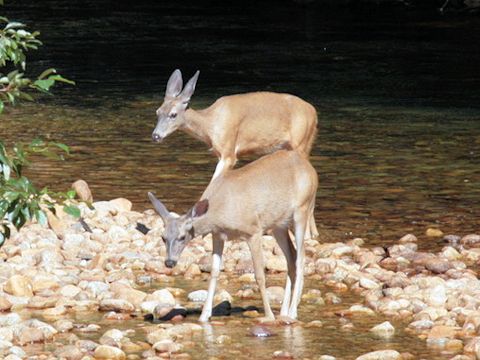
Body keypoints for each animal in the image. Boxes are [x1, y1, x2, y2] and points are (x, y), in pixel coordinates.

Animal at [148, 150, 316, 322]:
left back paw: (292, 312)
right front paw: (204, 316)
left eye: (182, 237)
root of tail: (310, 168)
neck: (219, 211)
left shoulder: (253, 230)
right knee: (291, 257)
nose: (169, 262)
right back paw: (284, 312)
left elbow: (259, 275)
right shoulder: (217, 235)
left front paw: (268, 316)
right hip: (278, 224)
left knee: (301, 257)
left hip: (302, 209)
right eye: (163, 237)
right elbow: (214, 271)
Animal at [152, 69, 320, 240]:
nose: (156, 136)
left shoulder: (229, 153)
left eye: (173, 114)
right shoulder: (219, 153)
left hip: (301, 142)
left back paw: (308, 234)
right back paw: (312, 232)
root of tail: (314, 113)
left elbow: (214, 180)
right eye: (158, 112)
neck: (211, 125)